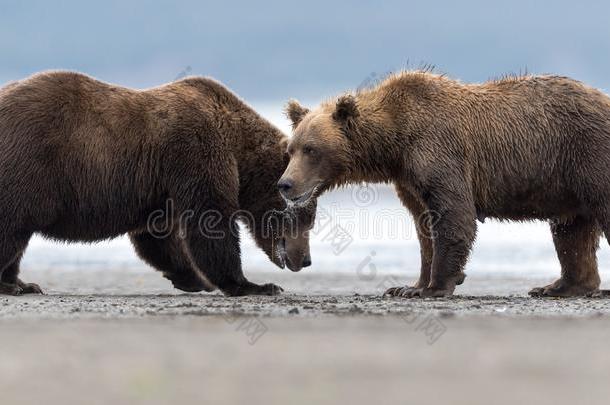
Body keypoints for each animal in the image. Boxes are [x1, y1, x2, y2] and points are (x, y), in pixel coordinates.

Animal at [0, 71, 314, 296]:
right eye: (305, 217)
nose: (306, 260)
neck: (238, 148)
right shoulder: (196, 152)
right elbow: (210, 222)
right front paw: (255, 285)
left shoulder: (161, 185)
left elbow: (158, 235)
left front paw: (193, 279)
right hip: (29, 165)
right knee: (12, 228)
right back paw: (14, 285)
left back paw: (23, 283)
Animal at [282, 69, 610, 296]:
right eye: (290, 148)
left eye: (311, 149)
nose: (285, 184)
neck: (396, 142)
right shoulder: (408, 179)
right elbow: (424, 226)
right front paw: (408, 286)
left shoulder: (437, 150)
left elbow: (454, 215)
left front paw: (433, 287)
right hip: (568, 180)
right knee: (571, 230)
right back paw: (559, 286)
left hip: (588, 152)